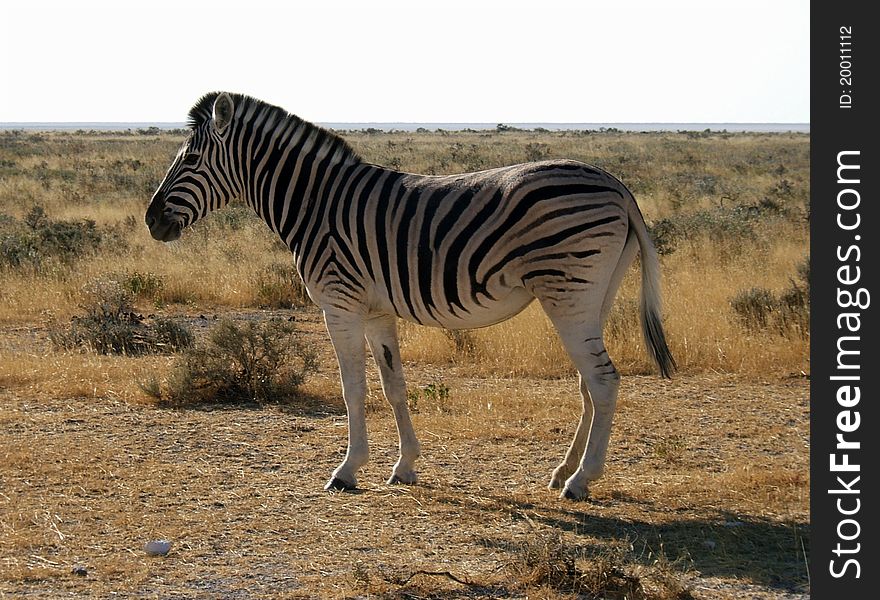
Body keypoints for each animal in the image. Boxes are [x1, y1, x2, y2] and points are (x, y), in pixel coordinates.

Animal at [148, 91, 676, 500]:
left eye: (189, 160)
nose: (152, 222)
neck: (316, 204)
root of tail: (617, 184)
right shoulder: (377, 311)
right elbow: (393, 386)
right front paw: (404, 467)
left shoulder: (339, 304)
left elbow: (353, 388)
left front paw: (347, 471)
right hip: (592, 295)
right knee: (590, 383)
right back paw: (563, 470)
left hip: (568, 291)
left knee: (604, 380)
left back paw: (581, 481)